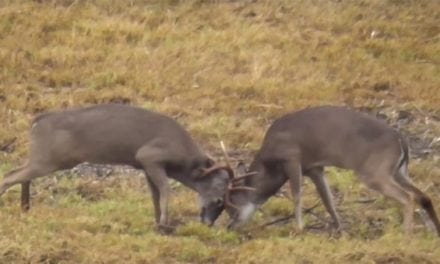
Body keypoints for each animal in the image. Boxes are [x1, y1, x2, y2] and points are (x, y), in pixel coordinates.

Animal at [0, 103, 234, 229]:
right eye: (219, 198)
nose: (208, 223)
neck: (184, 159)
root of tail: (36, 121)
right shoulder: (150, 156)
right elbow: (166, 189)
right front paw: (165, 224)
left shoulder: (145, 165)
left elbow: (154, 195)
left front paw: (157, 222)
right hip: (50, 159)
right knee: (10, 176)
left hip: (43, 158)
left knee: (20, 175)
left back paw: (25, 207)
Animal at [220, 106, 440, 236]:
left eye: (231, 205)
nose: (230, 227)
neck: (270, 163)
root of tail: (401, 140)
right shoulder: (314, 168)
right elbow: (328, 200)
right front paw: (340, 228)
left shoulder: (292, 158)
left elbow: (297, 194)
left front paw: (298, 228)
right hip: (398, 171)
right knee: (423, 196)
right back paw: (434, 231)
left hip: (375, 171)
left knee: (408, 197)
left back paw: (407, 234)